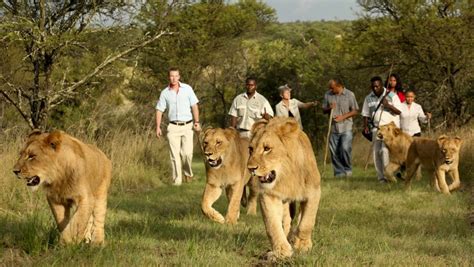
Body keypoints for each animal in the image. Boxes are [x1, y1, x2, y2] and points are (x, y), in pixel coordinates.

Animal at [248, 118, 322, 260]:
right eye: (251, 149)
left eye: (267, 149)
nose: (250, 168)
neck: (286, 176)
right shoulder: (269, 195)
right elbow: (272, 225)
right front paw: (281, 251)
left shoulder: (314, 192)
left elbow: (307, 222)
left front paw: (302, 245)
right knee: (286, 221)